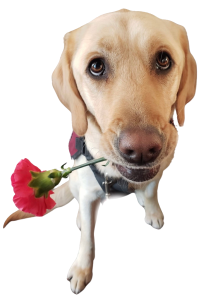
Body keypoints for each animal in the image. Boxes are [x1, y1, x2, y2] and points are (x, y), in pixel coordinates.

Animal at [3, 8, 197, 292]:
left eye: (164, 60)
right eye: (96, 66)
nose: (142, 149)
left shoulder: (159, 171)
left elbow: (151, 191)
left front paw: (152, 211)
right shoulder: (86, 193)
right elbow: (88, 239)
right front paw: (82, 269)